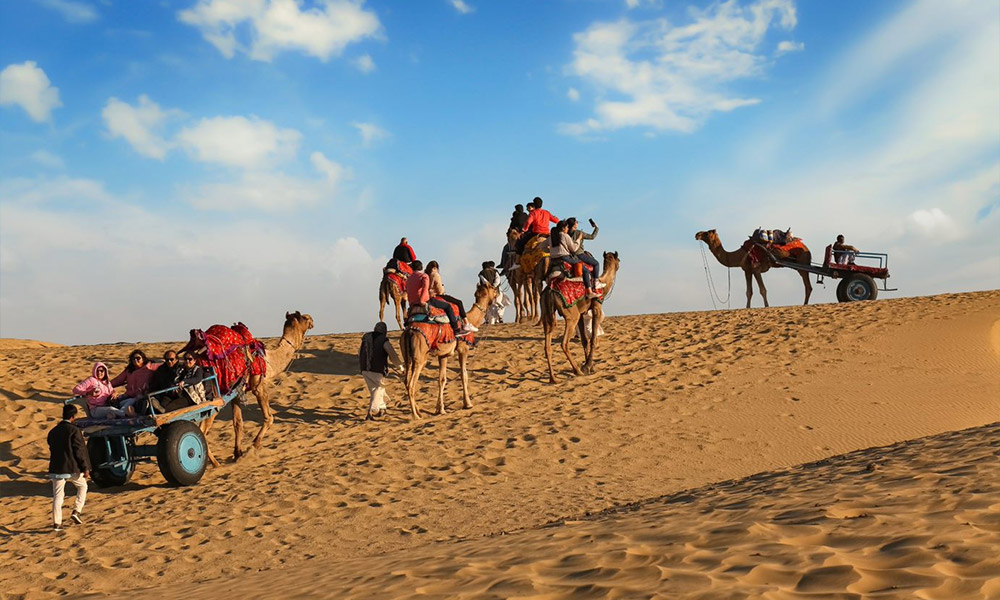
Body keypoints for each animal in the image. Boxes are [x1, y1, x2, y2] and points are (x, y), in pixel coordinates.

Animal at [398, 282, 500, 418]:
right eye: (493, 288)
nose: (498, 290)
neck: (471, 319)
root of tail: (409, 331)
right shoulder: (463, 348)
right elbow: (464, 375)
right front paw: (468, 404)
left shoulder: (443, 355)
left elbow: (442, 379)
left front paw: (440, 409)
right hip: (419, 358)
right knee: (411, 384)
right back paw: (415, 416)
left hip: (408, 357)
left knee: (406, 380)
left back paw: (419, 411)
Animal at [540, 250, 616, 382]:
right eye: (618, 260)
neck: (604, 283)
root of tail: (549, 290)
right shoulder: (596, 307)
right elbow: (593, 339)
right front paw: (587, 366)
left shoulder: (581, 313)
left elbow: (584, 340)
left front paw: (589, 366)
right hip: (571, 315)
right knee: (564, 343)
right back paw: (577, 371)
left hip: (546, 314)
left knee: (547, 346)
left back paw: (553, 378)